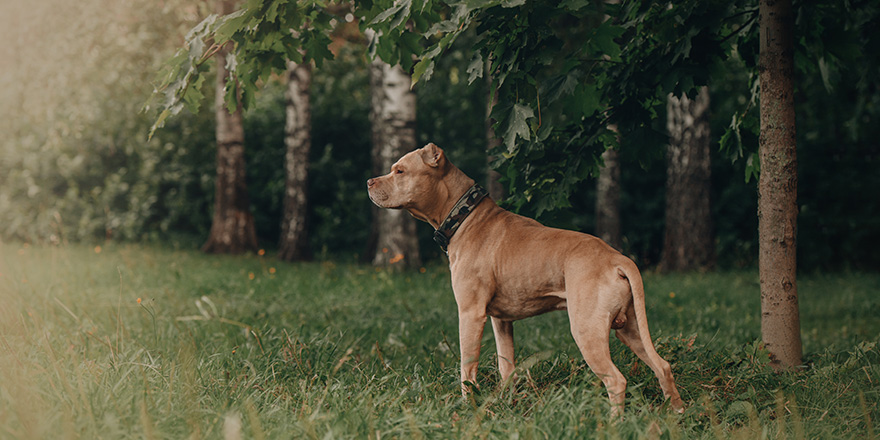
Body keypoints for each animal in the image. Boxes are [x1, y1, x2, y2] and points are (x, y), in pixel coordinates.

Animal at [368, 143, 684, 414]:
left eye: (400, 171)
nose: (369, 182)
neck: (465, 216)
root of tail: (618, 259)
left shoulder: (470, 314)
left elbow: (467, 366)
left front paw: (467, 407)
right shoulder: (501, 321)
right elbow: (506, 367)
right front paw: (506, 404)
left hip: (588, 331)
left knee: (616, 380)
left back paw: (614, 423)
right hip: (631, 330)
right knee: (662, 366)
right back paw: (676, 413)